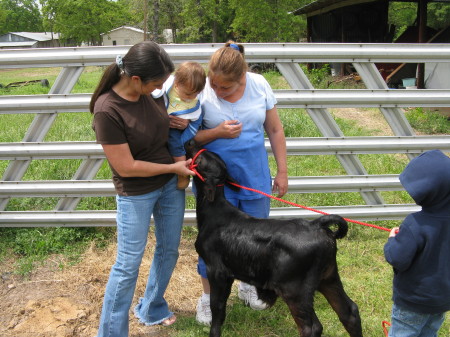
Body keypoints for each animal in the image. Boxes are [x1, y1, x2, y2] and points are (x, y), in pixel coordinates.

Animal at [185, 140, 364, 336]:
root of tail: (316, 225)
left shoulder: (218, 270)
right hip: (329, 276)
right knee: (350, 312)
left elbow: (217, 308)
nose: (191, 141)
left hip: (295, 289)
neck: (215, 211)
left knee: (311, 327)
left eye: (200, 160)